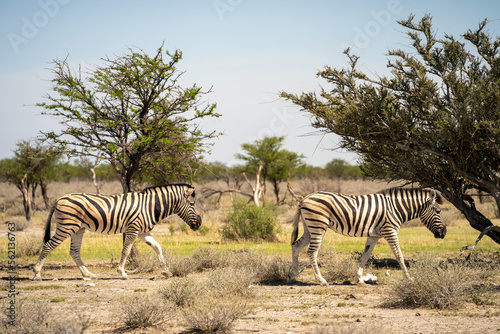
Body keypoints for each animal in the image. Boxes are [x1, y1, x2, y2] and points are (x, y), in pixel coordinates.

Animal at [32, 183, 201, 280]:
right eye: (192, 204)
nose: (199, 223)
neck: (150, 206)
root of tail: (59, 198)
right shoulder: (133, 229)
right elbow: (126, 251)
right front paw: (122, 272)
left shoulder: (143, 232)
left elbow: (157, 247)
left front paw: (166, 271)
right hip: (66, 226)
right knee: (48, 246)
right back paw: (37, 273)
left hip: (78, 229)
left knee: (74, 251)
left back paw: (87, 274)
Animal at [292, 188, 448, 284]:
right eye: (438, 211)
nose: (444, 233)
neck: (395, 209)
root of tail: (306, 197)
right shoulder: (390, 231)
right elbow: (399, 255)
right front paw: (408, 278)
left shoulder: (374, 236)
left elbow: (365, 255)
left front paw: (360, 279)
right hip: (318, 226)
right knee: (312, 252)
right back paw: (321, 280)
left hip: (309, 228)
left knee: (296, 246)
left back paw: (294, 274)